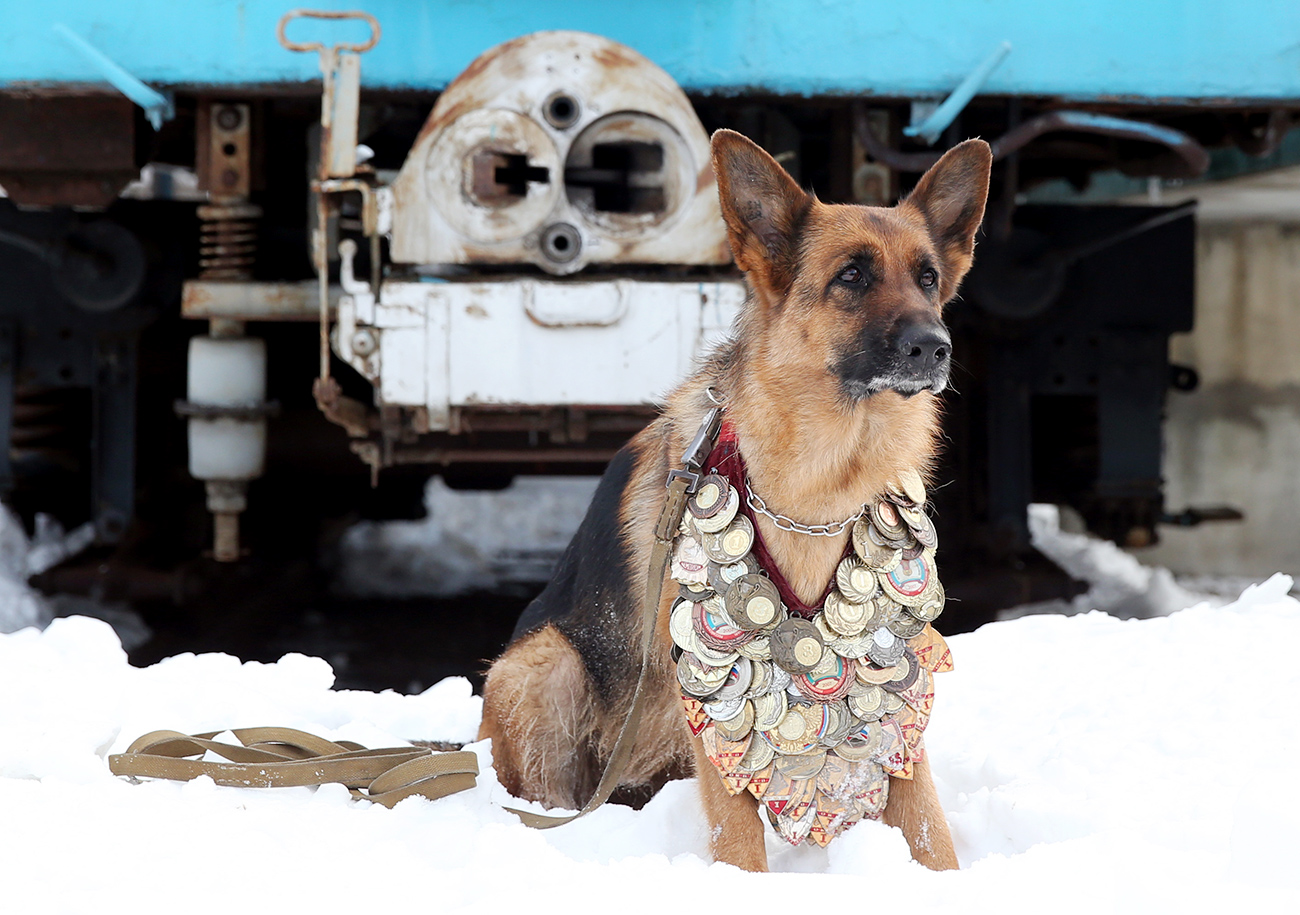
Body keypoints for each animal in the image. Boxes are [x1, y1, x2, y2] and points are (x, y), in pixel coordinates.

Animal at [483, 128, 987, 873]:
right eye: (852, 277)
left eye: (927, 278)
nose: (936, 347)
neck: (821, 483)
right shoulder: (709, 690)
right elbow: (738, 836)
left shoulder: (897, 683)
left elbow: (926, 821)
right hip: (542, 666)